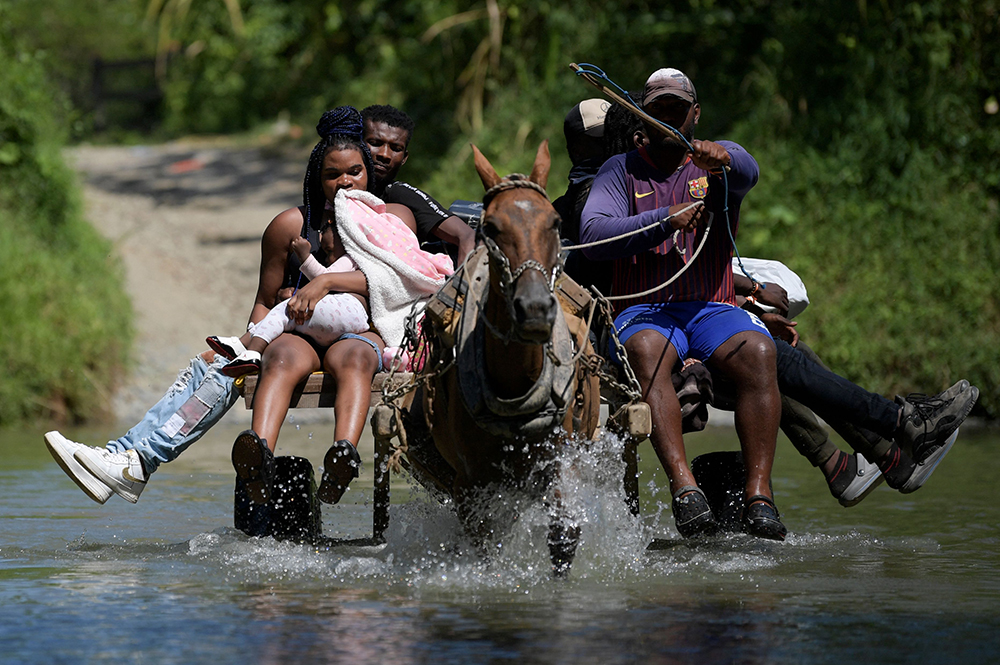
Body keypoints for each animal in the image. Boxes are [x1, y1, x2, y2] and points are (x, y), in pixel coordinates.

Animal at [408, 139, 596, 572]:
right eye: (491, 227)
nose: (534, 308)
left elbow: (564, 536)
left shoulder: (558, 464)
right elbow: (485, 547)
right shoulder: (470, 486)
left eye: (556, 222)